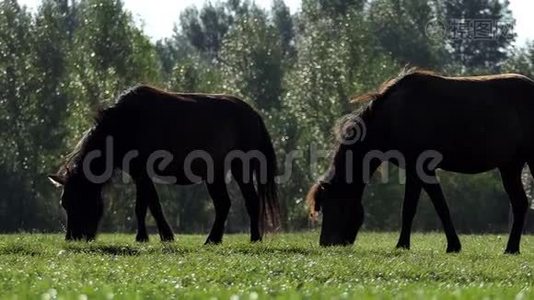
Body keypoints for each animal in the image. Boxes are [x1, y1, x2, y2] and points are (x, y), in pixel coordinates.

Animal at [48, 84, 282, 244]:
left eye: (79, 200)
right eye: (64, 203)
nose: (72, 238)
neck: (124, 123)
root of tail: (254, 114)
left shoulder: (141, 172)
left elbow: (147, 205)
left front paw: (153, 236)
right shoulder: (139, 174)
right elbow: (148, 204)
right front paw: (154, 236)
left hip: (240, 167)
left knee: (248, 201)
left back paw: (251, 238)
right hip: (217, 174)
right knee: (225, 204)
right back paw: (215, 240)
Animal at [308, 67, 534, 253]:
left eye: (332, 205)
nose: (326, 243)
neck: (392, 117)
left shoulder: (422, 168)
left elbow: (431, 207)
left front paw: (444, 245)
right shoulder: (413, 170)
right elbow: (417, 208)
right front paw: (411, 245)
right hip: (510, 166)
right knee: (520, 203)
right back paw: (511, 248)